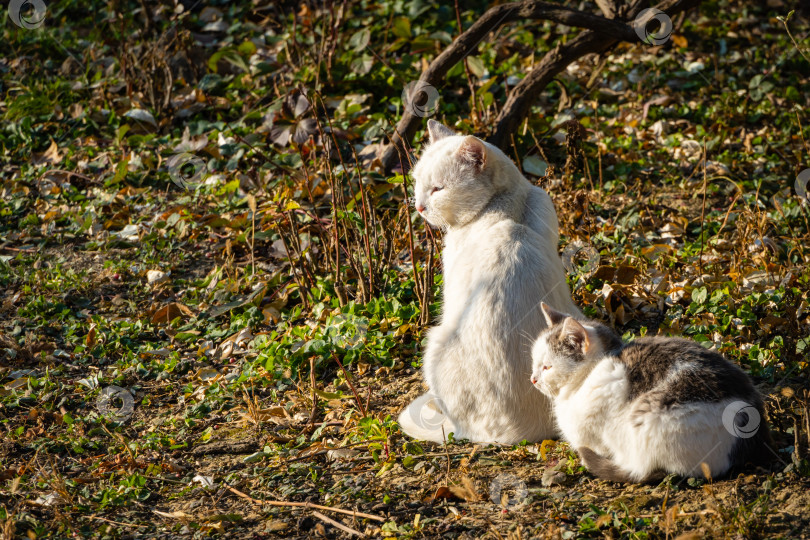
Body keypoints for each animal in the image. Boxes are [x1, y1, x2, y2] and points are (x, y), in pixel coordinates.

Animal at [396, 119, 576, 442]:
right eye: (417, 182)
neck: (510, 203)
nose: (418, 207)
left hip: (435, 341)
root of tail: (526, 433)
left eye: (438, 189)